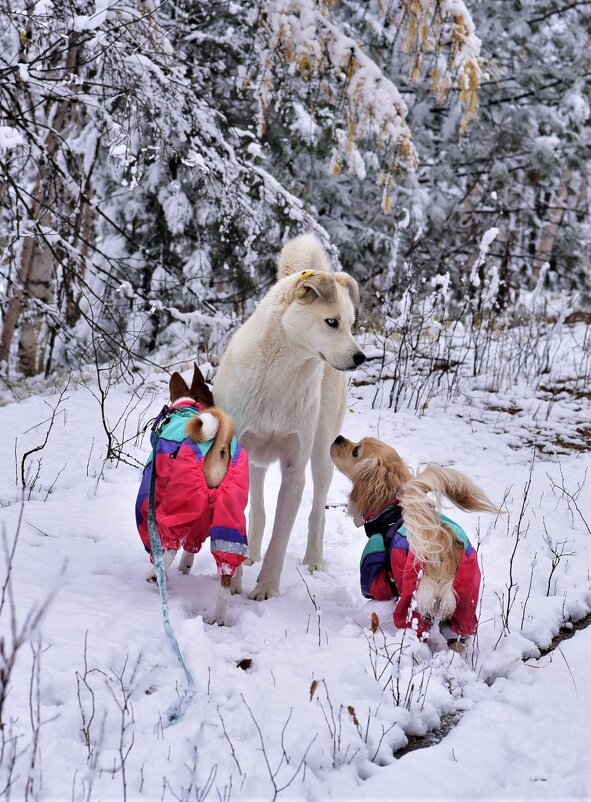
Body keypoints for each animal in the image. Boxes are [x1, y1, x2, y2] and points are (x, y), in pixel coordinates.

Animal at [214, 234, 366, 596]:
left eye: (351, 324)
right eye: (332, 322)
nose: (360, 357)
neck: (281, 377)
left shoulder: (295, 470)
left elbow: (281, 539)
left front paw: (266, 590)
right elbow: (243, 520)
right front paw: (235, 580)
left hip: (323, 454)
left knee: (316, 513)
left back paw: (313, 560)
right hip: (255, 463)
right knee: (257, 511)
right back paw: (250, 556)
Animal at [330, 432, 502, 648]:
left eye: (355, 451)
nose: (338, 437)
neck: (390, 507)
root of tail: (442, 547)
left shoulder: (374, 569)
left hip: (413, 602)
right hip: (465, 603)